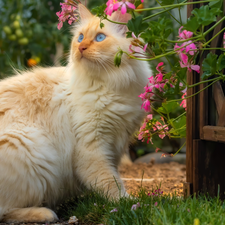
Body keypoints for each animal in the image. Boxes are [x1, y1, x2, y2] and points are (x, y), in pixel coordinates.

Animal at [0, 4, 152, 222]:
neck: (109, 85)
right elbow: (110, 183)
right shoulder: (91, 148)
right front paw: (130, 204)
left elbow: (111, 176)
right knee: (5, 211)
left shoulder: (115, 143)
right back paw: (47, 213)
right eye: (80, 38)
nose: (81, 48)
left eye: (99, 38)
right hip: (29, 147)